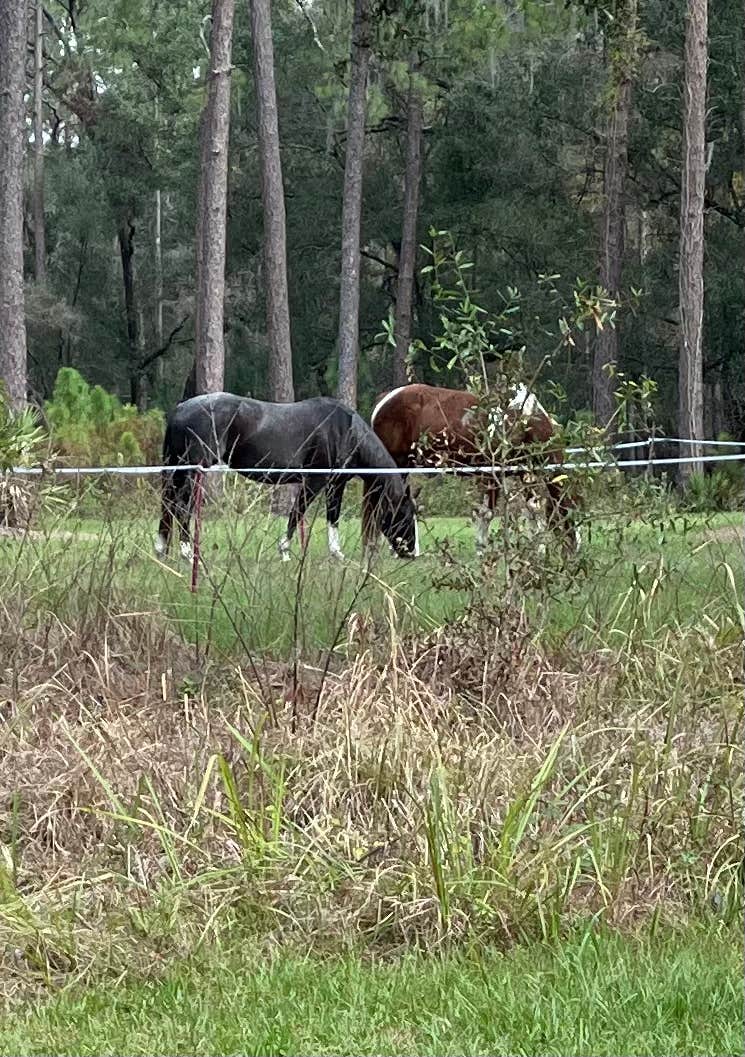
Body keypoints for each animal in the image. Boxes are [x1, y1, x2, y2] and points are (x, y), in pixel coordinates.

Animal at [155, 392, 417, 563]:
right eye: (405, 515)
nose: (412, 553)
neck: (346, 431)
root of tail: (180, 409)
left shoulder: (336, 483)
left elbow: (332, 517)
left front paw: (336, 553)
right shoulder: (315, 481)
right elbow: (297, 513)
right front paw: (285, 551)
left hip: (177, 472)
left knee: (169, 506)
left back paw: (162, 550)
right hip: (191, 473)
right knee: (181, 508)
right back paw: (187, 553)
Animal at [370, 382, 580, 553]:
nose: (575, 550)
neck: (524, 421)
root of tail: (383, 401)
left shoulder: (525, 474)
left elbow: (532, 511)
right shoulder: (491, 475)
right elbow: (486, 513)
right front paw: (482, 551)